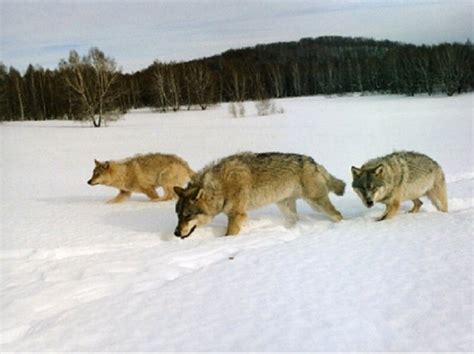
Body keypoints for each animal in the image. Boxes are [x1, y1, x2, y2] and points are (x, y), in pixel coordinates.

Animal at [172, 151, 342, 238]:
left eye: (188, 215)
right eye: (178, 215)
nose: (176, 233)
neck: (220, 187)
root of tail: (314, 162)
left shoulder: (236, 215)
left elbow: (228, 235)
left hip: (316, 203)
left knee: (338, 215)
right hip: (285, 206)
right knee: (295, 219)